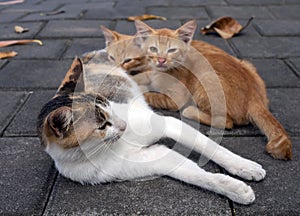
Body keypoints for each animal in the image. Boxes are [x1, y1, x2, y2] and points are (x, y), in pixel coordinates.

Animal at [37, 49, 264, 205]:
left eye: (109, 105)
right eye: (102, 125)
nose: (123, 125)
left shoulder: (168, 123)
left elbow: (213, 148)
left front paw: (244, 166)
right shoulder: (154, 160)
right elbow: (196, 175)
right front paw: (235, 189)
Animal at [100, 20, 290, 160]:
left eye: (128, 60)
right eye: (111, 58)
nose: (161, 60)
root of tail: (255, 97)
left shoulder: (176, 97)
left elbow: (148, 94)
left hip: (205, 78)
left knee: (226, 121)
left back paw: (192, 111)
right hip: (247, 65)